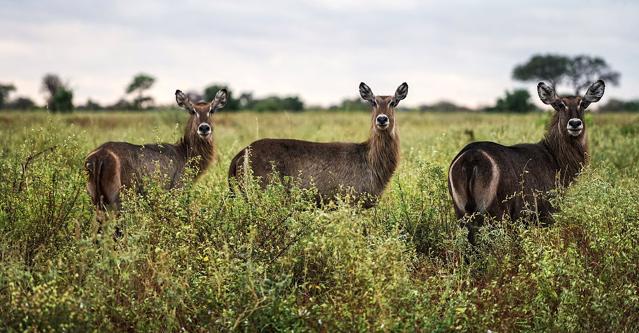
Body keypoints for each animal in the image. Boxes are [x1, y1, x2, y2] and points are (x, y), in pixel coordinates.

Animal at [84, 88, 226, 210]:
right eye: (192, 111)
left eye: (211, 110)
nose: (204, 128)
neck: (185, 153)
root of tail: (99, 156)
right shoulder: (177, 189)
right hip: (118, 199)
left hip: (96, 199)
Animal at [230, 81, 408, 206]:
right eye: (373, 102)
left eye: (393, 102)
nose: (382, 119)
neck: (369, 159)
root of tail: (242, 152)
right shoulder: (351, 202)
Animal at [450, 79, 604, 243]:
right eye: (560, 104)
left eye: (583, 103)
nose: (575, 123)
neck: (553, 156)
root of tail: (471, 158)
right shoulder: (547, 212)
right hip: (495, 213)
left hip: (461, 213)